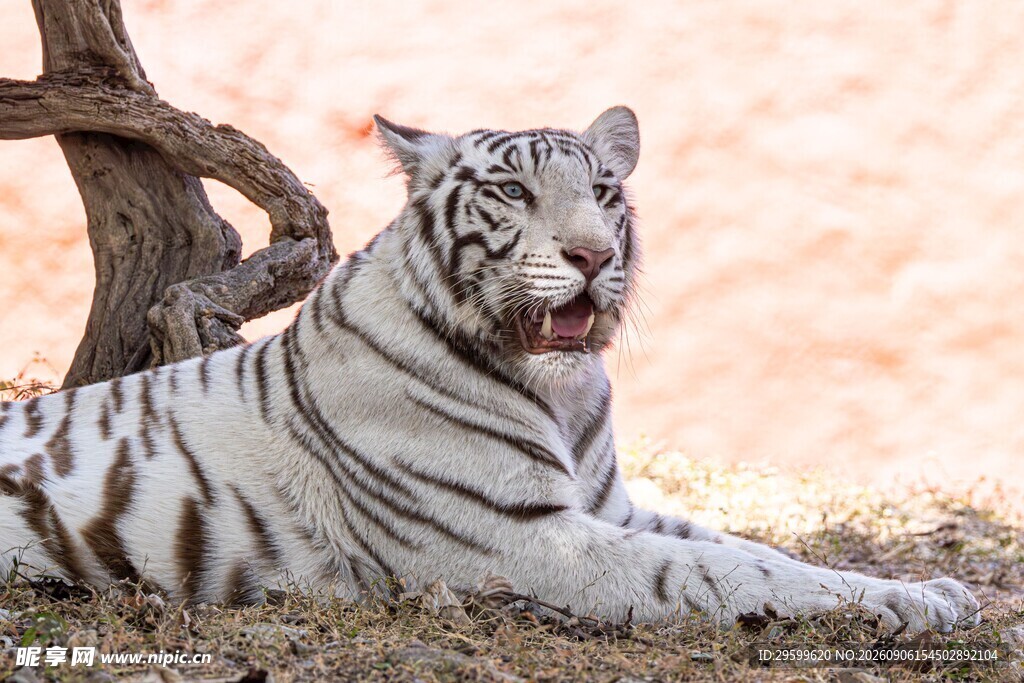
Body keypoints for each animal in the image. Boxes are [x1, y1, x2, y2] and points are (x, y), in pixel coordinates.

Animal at [0, 107, 979, 632]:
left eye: (604, 194)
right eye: (513, 191)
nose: (592, 254)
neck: (563, 390)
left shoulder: (610, 507)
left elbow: (754, 545)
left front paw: (932, 587)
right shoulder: (526, 540)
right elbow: (729, 572)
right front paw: (913, 605)